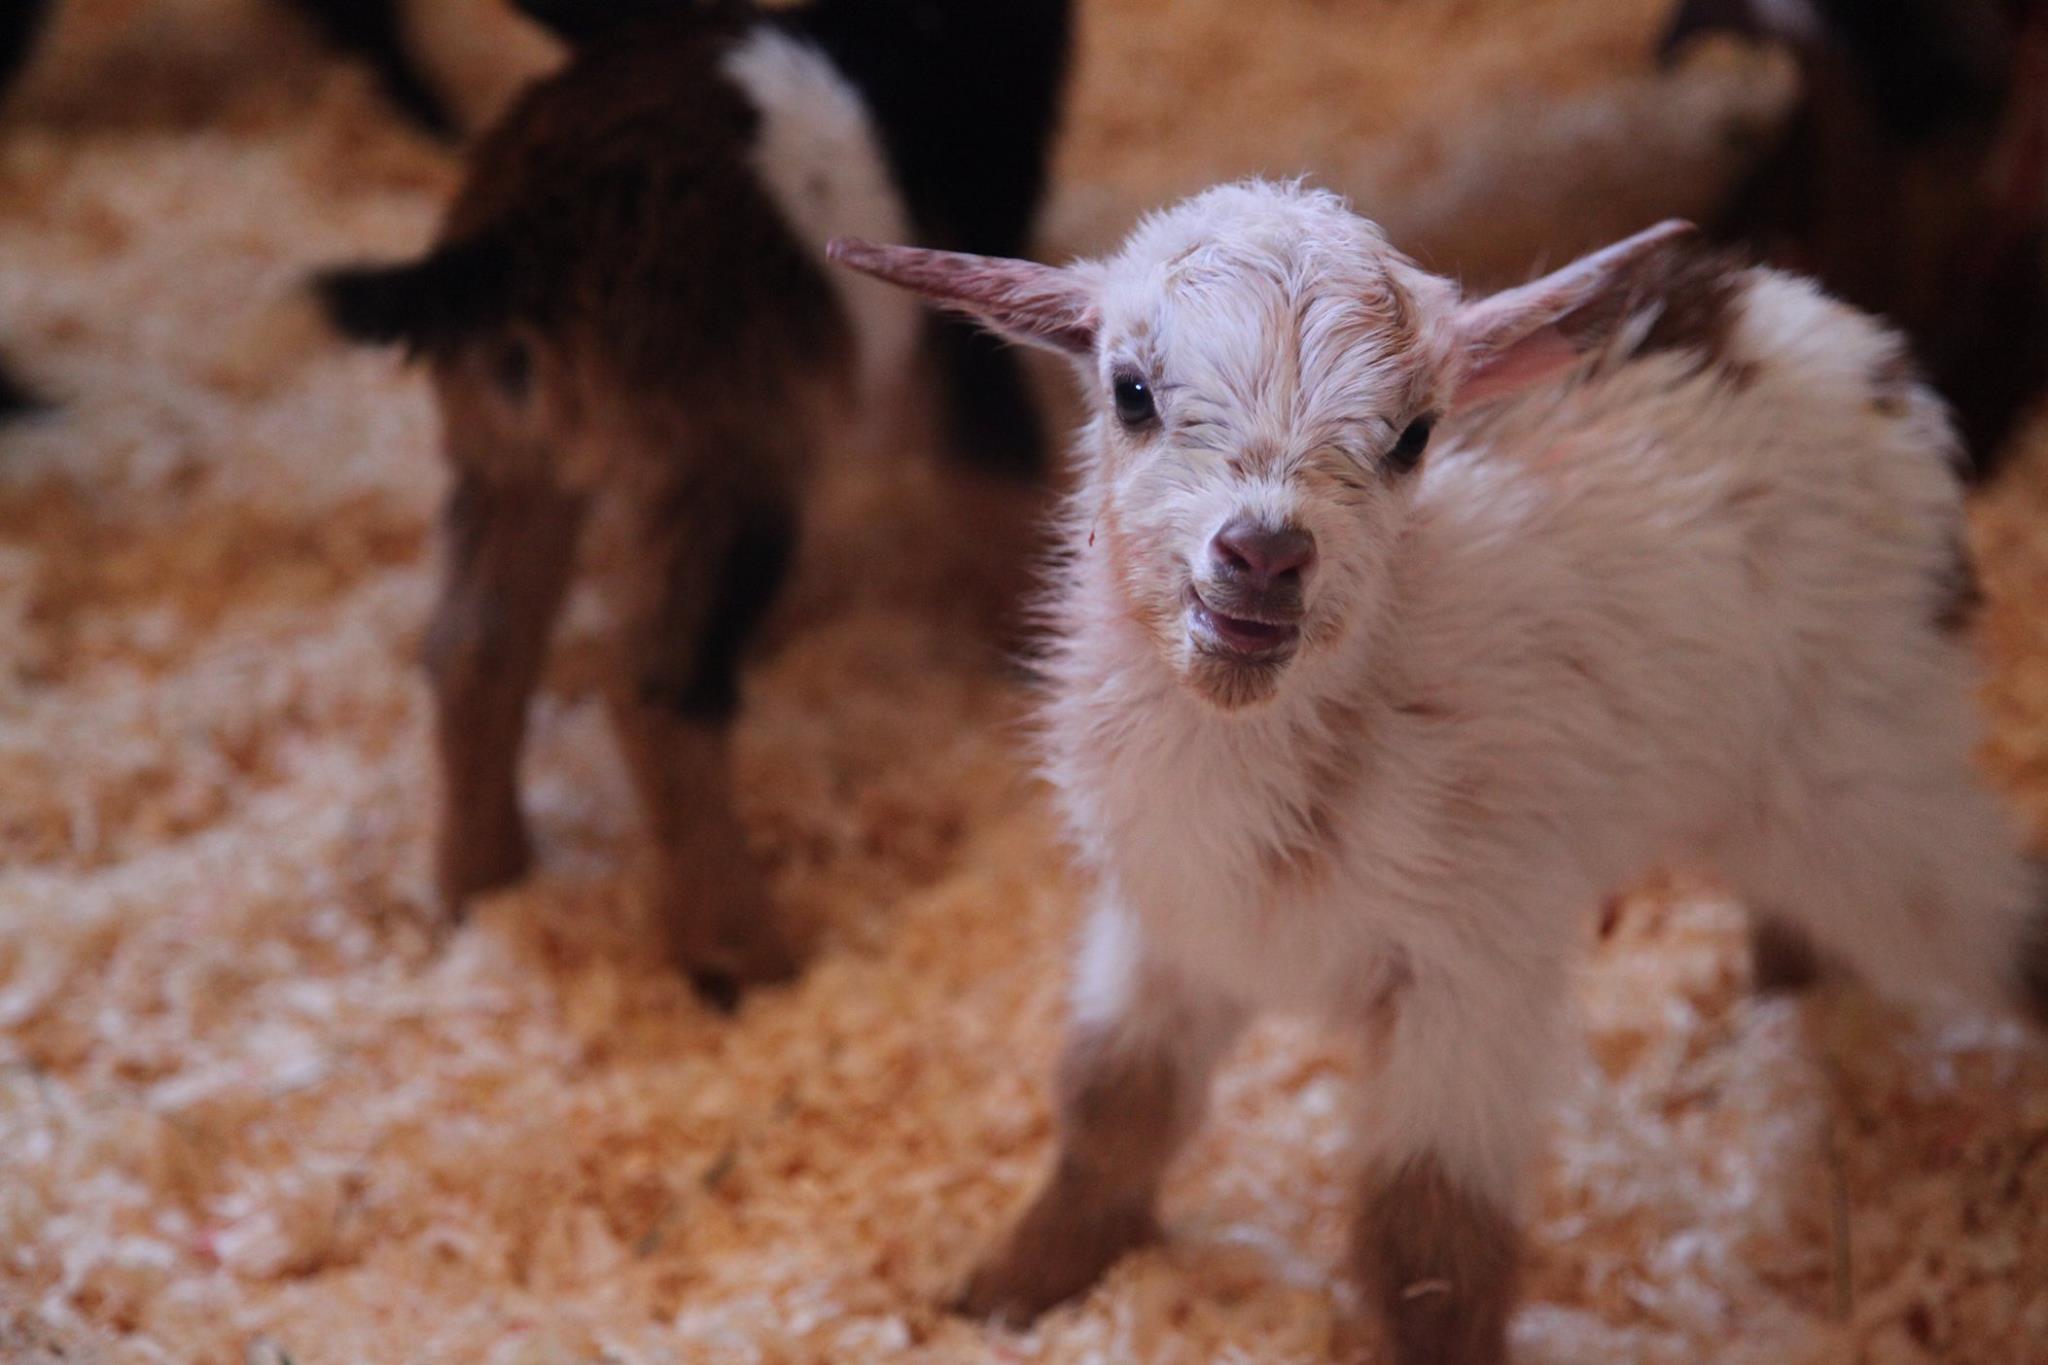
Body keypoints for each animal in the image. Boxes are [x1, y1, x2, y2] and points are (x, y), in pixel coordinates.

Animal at [835, 181, 2048, 1365]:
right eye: (1128, 392)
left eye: (1413, 435)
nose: (1264, 554)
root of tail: (1840, 342)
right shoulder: (1166, 924)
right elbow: (1110, 1104)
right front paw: (1008, 1287)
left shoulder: (1470, 966)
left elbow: (1428, 1233)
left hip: (1861, 776)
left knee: (1993, 917)